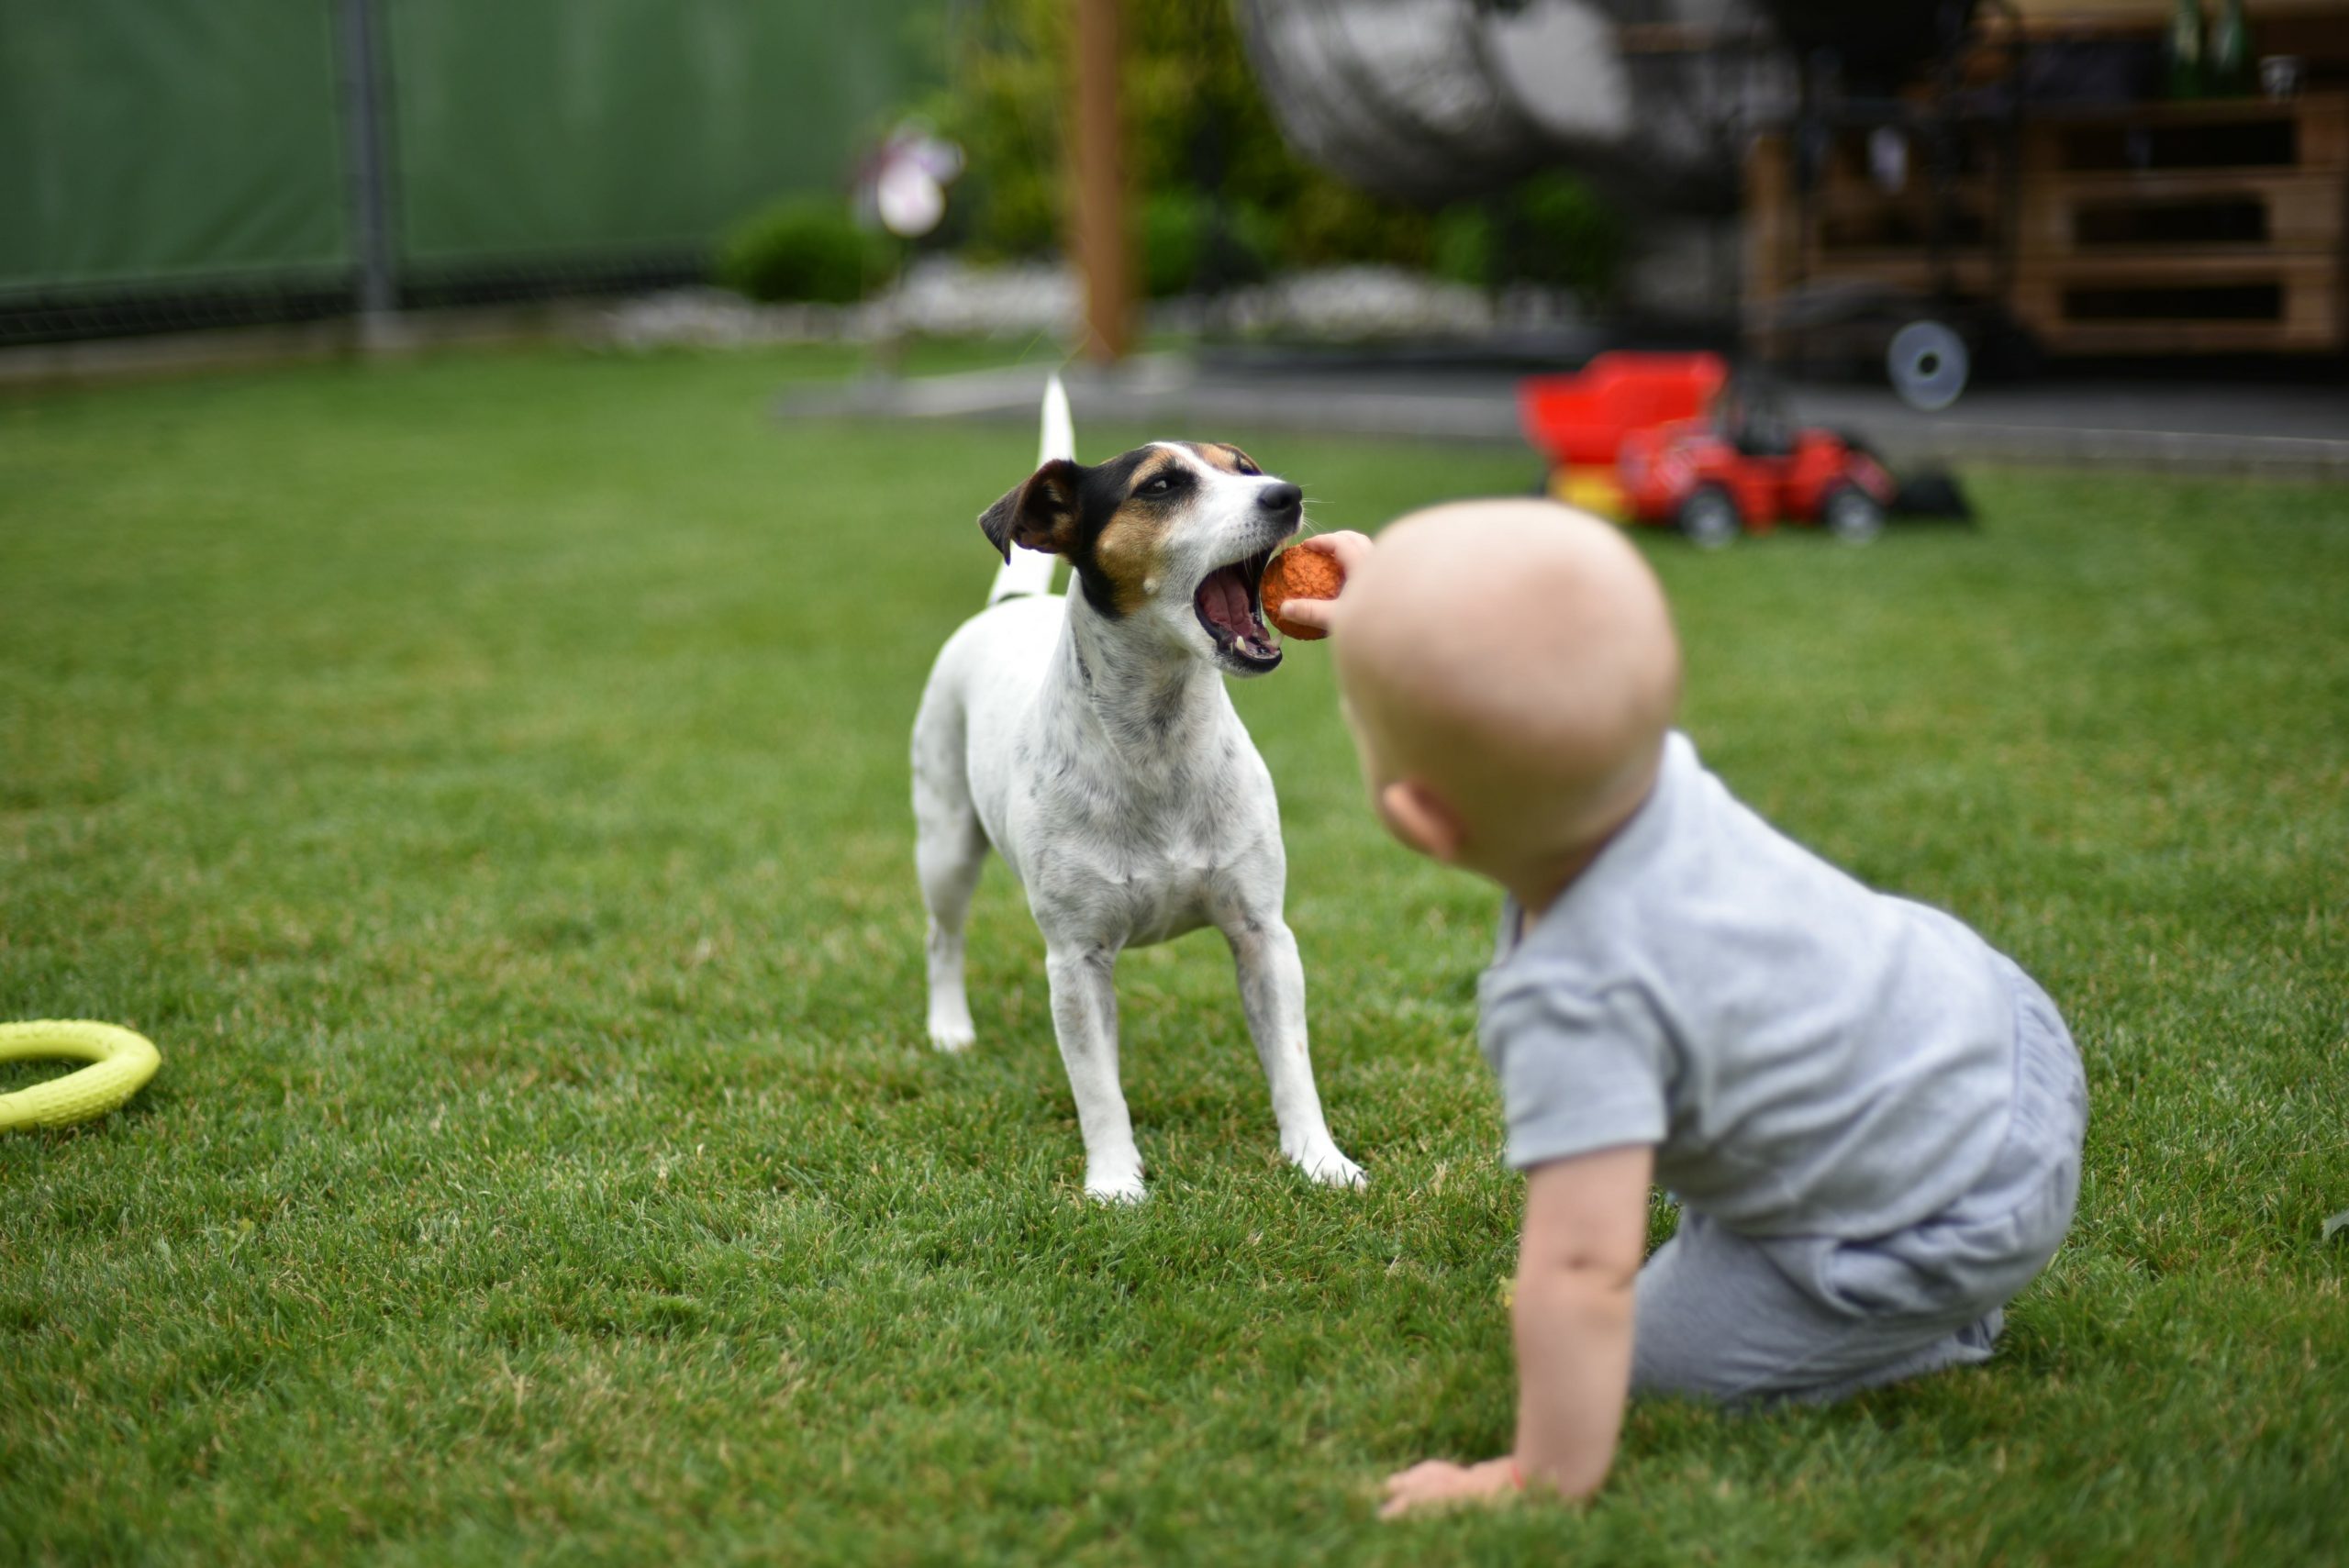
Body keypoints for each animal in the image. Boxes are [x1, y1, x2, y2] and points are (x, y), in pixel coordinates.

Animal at [907, 380, 1372, 1201]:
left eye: (1248, 466)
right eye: (1160, 486)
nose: (1285, 493)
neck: (1158, 739)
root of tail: (1004, 608)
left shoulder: (1263, 935)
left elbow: (1292, 1065)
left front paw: (1320, 1160)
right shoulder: (1076, 959)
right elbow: (1098, 1087)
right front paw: (1116, 1183)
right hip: (946, 844)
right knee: (943, 936)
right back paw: (950, 1028)